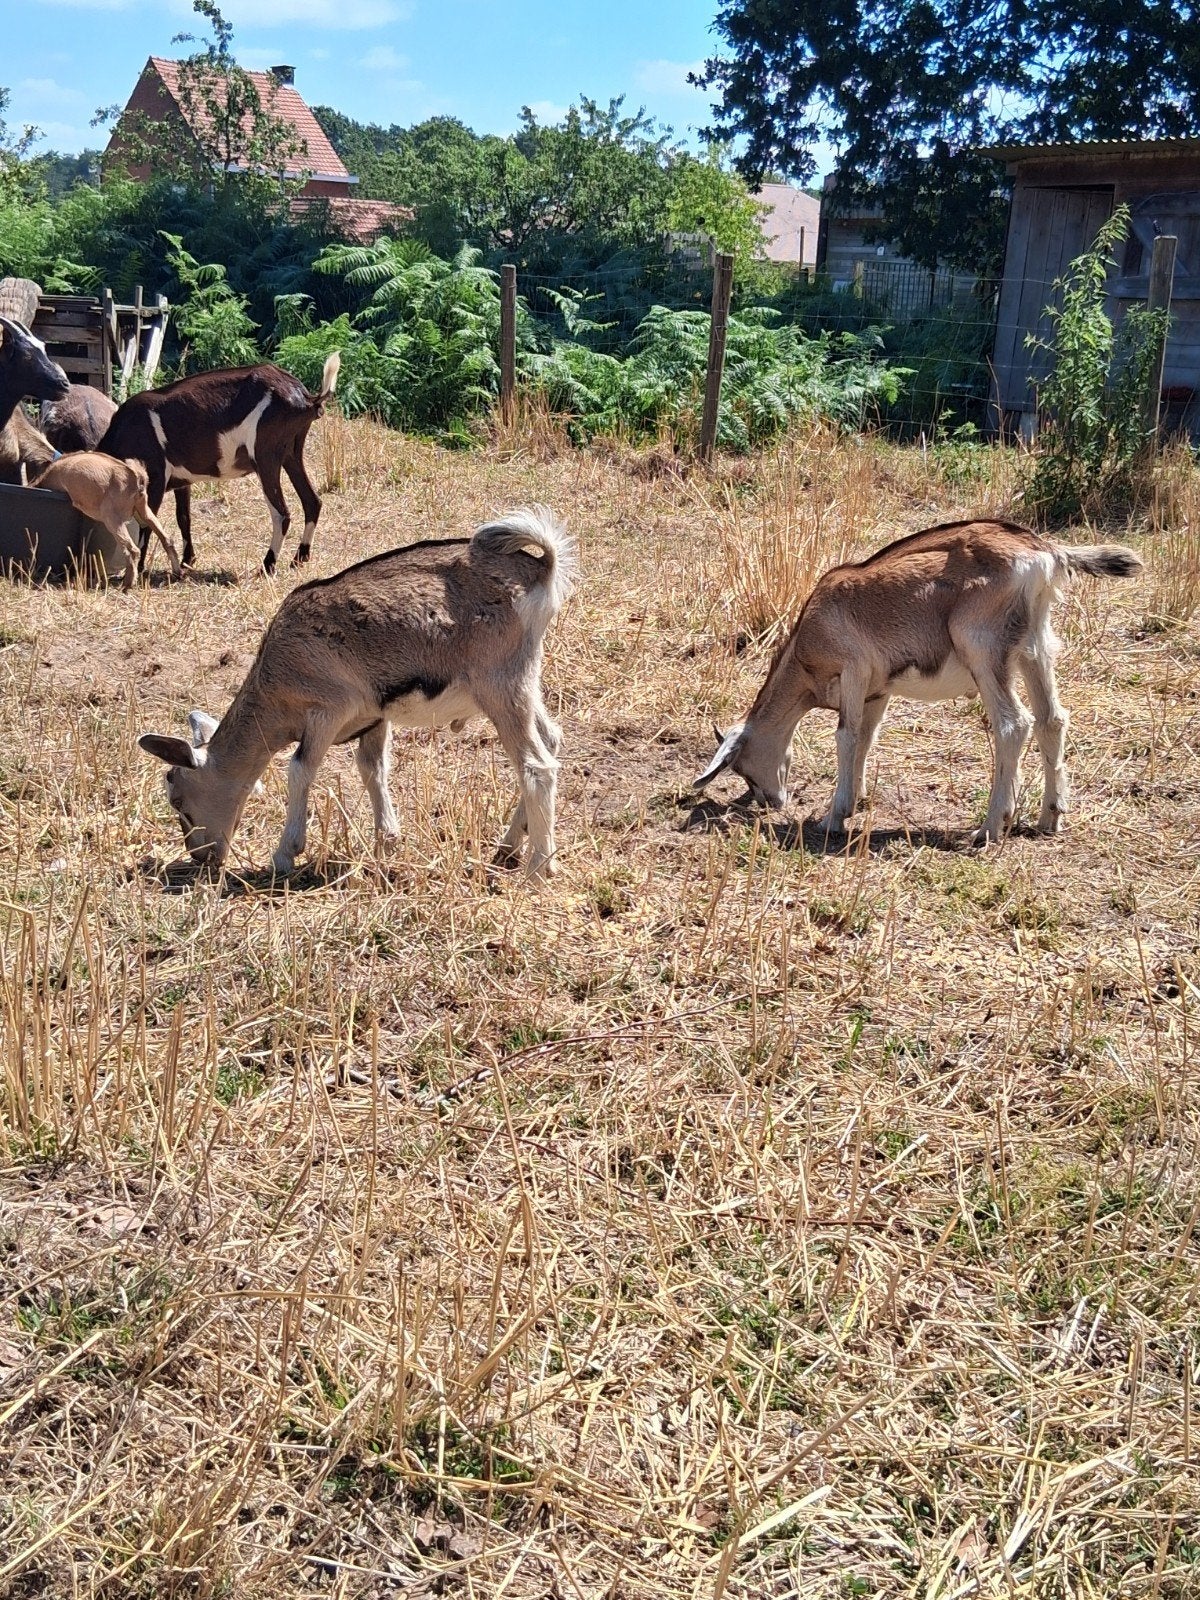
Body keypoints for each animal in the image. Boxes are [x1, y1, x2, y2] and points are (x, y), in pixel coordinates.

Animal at [32, 453, 181, 587]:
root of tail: (136, 477)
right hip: (144, 511)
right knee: (166, 539)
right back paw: (177, 573)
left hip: (112, 519)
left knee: (133, 550)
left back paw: (127, 584)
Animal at [95, 355, 340, 574]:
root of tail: (307, 398)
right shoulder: (182, 480)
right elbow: (183, 517)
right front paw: (187, 561)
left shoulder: (153, 479)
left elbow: (147, 522)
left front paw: (139, 569)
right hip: (291, 453)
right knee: (312, 501)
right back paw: (299, 559)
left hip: (265, 456)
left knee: (282, 514)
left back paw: (267, 566)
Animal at [139, 506, 575, 880]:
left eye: (178, 800)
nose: (201, 857)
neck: (275, 675)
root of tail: (542, 567)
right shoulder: (374, 716)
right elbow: (372, 769)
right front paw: (387, 840)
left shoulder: (328, 709)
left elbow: (300, 769)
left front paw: (284, 855)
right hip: (520, 680)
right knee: (550, 739)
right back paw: (508, 847)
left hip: (499, 684)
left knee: (536, 766)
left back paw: (538, 866)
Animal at [695, 519, 1143, 842]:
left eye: (743, 768)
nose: (770, 801)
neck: (809, 638)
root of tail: (1045, 552)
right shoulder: (877, 691)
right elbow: (865, 739)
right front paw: (856, 800)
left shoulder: (853, 672)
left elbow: (845, 737)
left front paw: (832, 817)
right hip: (1035, 649)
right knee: (1052, 719)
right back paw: (1050, 818)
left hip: (983, 649)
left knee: (1013, 725)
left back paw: (989, 828)